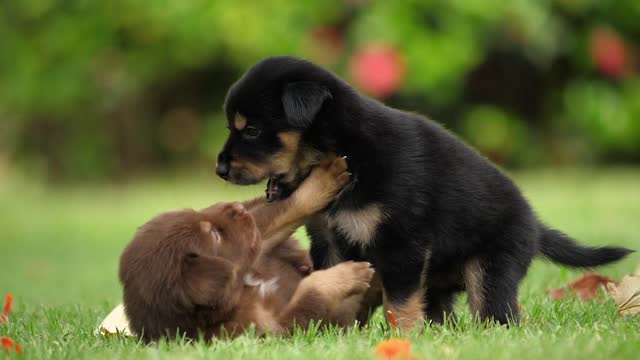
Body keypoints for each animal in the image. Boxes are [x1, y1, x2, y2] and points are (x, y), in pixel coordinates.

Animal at [119, 158, 376, 340]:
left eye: (197, 213)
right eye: (214, 236)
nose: (237, 208)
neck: (243, 289)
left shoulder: (256, 243)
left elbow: (282, 210)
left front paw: (324, 178)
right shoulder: (274, 330)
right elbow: (311, 293)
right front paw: (349, 275)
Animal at [216, 55, 636, 330]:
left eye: (251, 130)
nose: (219, 169)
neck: (345, 149)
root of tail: (535, 224)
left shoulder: (401, 243)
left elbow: (399, 302)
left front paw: (403, 338)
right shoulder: (329, 240)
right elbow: (337, 282)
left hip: (491, 267)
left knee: (497, 312)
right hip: (440, 280)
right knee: (443, 309)